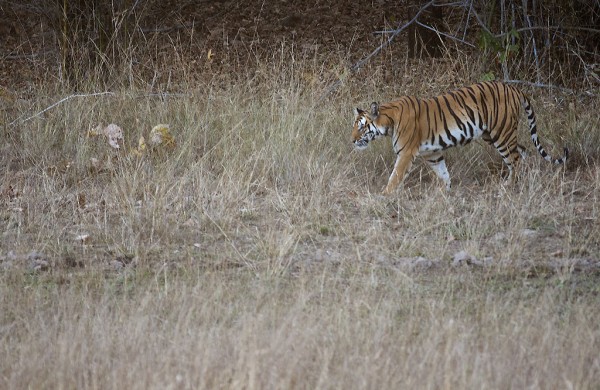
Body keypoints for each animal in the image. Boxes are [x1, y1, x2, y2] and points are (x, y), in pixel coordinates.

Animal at [352, 80, 568, 193]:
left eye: (361, 128)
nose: (352, 140)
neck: (388, 122)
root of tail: (514, 87)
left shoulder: (406, 153)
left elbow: (395, 176)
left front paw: (384, 195)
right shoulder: (432, 153)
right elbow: (443, 173)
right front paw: (445, 193)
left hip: (502, 134)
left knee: (515, 159)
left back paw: (509, 185)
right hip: (494, 135)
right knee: (522, 151)